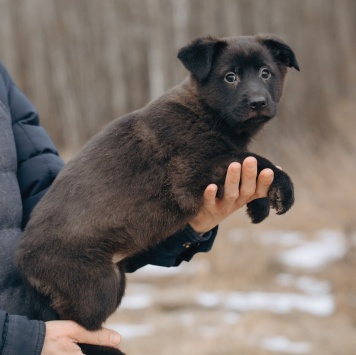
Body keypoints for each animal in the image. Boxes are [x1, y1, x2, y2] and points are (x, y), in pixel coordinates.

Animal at [18, 34, 298, 355]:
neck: (206, 112)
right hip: (97, 285)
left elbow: (251, 164)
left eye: (266, 73)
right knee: (79, 326)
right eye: (231, 77)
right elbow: (256, 160)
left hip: (114, 278)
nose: (258, 102)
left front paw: (260, 205)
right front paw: (284, 188)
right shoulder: (192, 171)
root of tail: (22, 260)